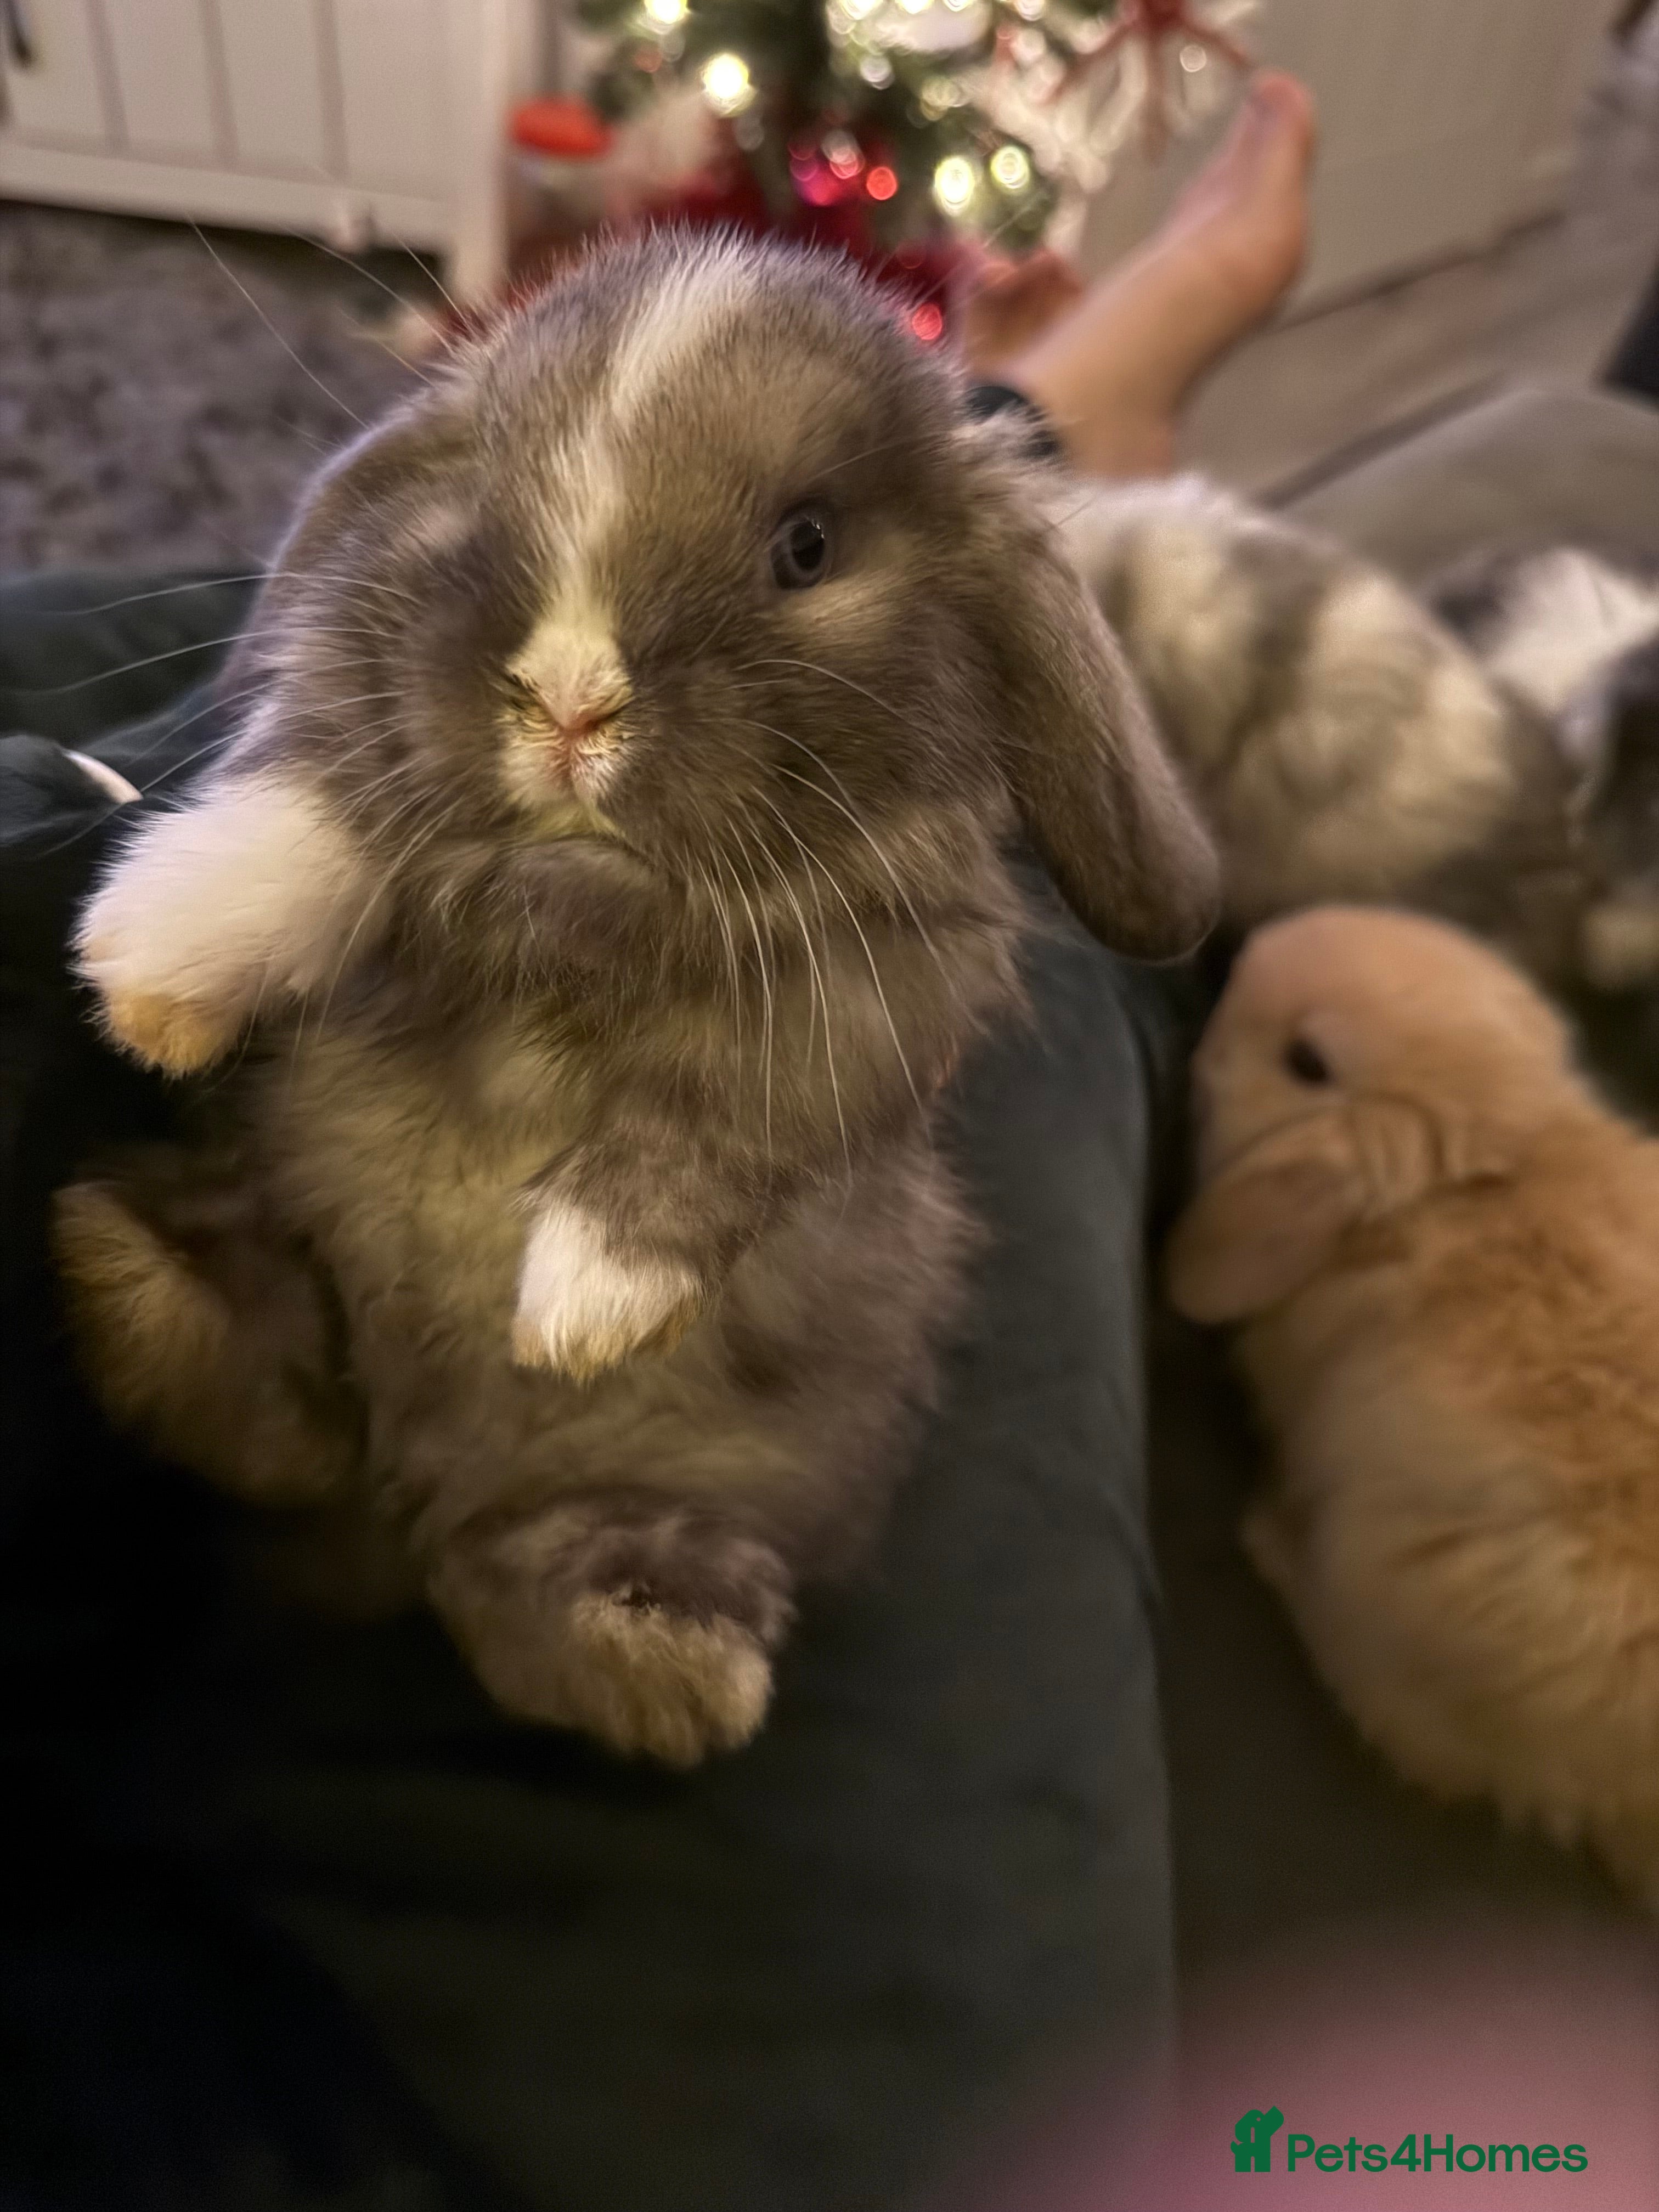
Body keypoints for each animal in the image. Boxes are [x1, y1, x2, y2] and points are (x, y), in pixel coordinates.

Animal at [54, 230, 1217, 1767]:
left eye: (806, 546)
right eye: (485, 483)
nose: (568, 699)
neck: (580, 907)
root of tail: (405, 1503)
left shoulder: (877, 999)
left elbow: (728, 1119)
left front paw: (582, 1303)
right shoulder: (372, 755)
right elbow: (325, 803)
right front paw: (153, 964)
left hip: (643, 1504)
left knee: (496, 1573)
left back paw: (670, 1665)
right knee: (270, 1415)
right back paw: (125, 1268)